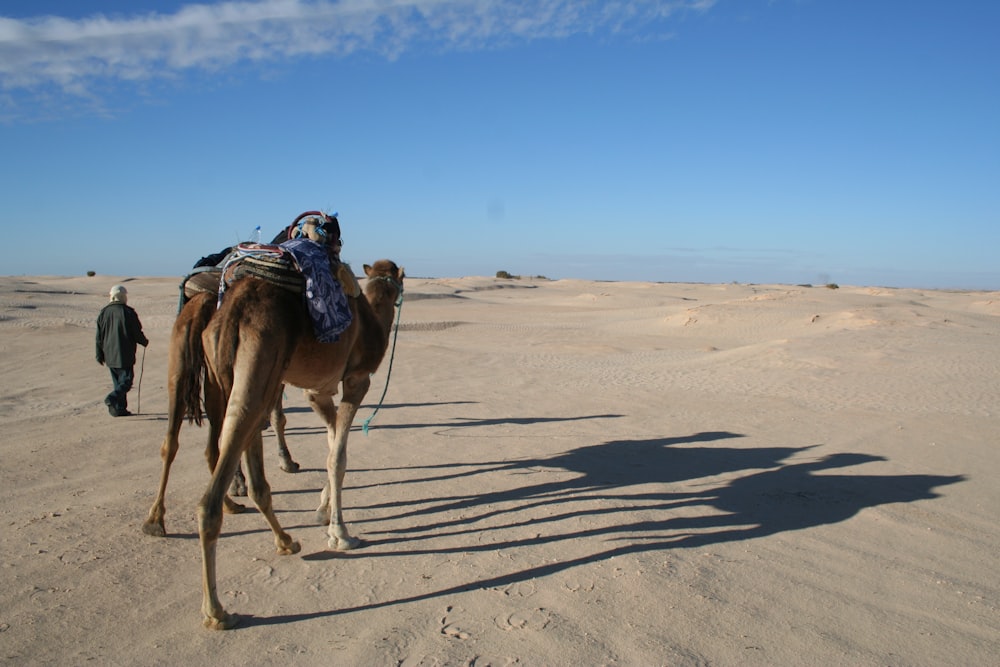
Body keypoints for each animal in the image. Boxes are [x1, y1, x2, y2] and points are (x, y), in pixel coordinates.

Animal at [195, 258, 402, 628]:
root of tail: (232, 311)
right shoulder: (356, 379)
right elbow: (338, 458)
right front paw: (341, 534)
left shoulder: (316, 391)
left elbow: (332, 444)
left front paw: (322, 510)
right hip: (258, 366)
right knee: (212, 496)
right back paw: (217, 611)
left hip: (226, 374)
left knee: (247, 463)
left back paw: (286, 542)